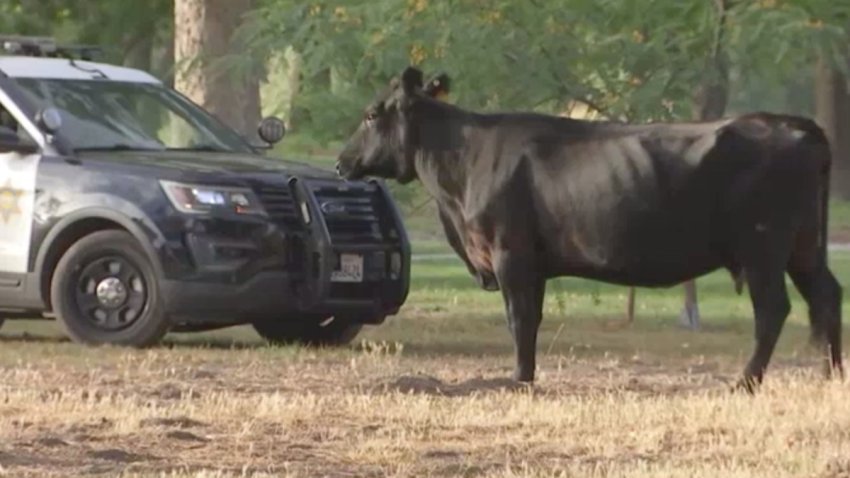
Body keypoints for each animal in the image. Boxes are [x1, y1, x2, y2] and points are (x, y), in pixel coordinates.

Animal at [334, 65, 840, 392]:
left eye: (372, 114)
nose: (341, 163)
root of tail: (794, 124)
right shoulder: (533, 262)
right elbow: (532, 317)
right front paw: (526, 375)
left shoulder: (511, 252)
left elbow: (520, 317)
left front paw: (519, 379)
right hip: (803, 246)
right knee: (827, 295)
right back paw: (831, 375)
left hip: (763, 246)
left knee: (772, 310)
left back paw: (745, 381)